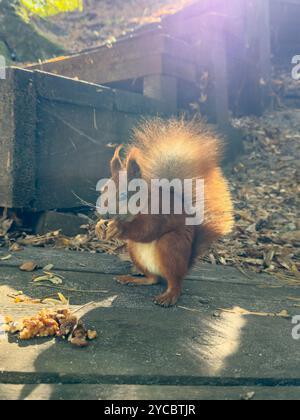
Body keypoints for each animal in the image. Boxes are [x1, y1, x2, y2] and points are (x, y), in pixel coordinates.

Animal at [97, 116, 233, 306]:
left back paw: (169, 296)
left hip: (171, 246)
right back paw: (133, 279)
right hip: (135, 251)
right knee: (153, 279)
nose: (103, 214)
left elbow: (146, 231)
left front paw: (118, 228)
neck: (133, 212)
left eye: (123, 195)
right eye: (103, 189)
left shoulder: (157, 214)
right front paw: (100, 226)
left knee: (175, 282)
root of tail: (186, 265)